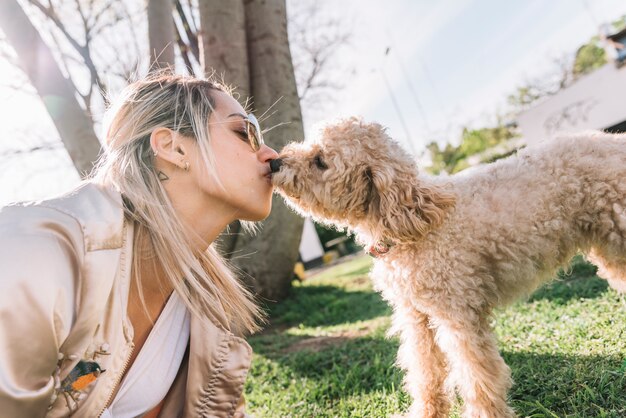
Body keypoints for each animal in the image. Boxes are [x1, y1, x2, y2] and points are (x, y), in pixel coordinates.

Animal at [270, 117, 624, 418]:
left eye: (320, 161)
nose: (274, 161)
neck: (412, 221)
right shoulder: (416, 317)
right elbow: (425, 372)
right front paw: (426, 412)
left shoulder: (457, 315)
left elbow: (475, 375)